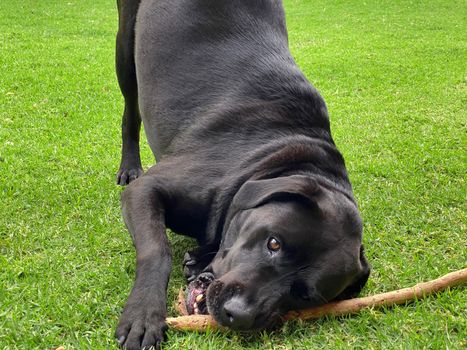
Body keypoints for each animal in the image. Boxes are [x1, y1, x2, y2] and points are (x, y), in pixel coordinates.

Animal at [114, 1, 370, 348]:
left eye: (304, 295)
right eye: (274, 243)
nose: (238, 314)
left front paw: (198, 257)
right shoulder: (146, 189)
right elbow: (157, 249)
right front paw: (144, 314)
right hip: (126, 46)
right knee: (131, 111)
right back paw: (128, 166)